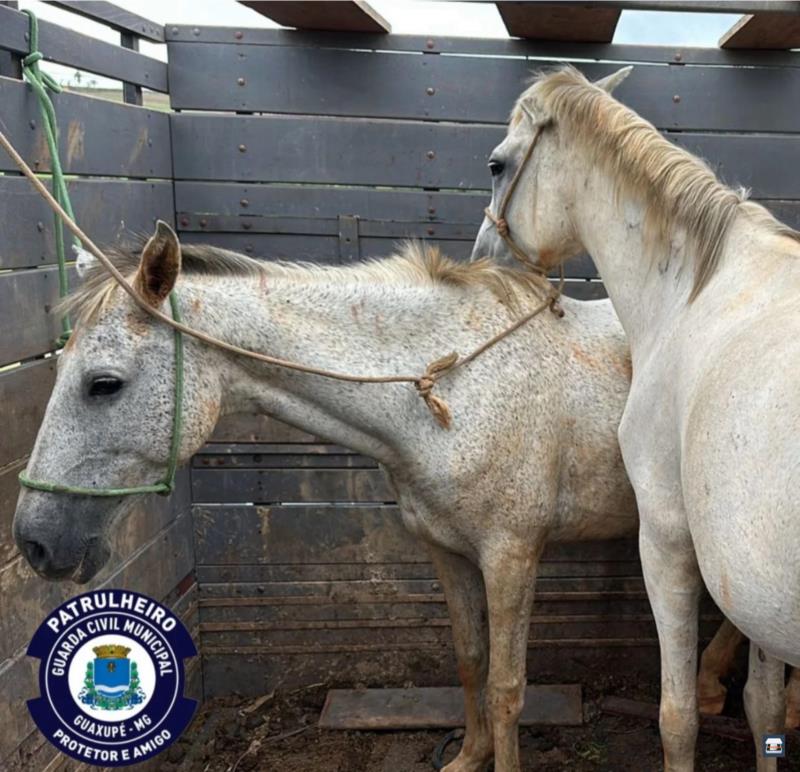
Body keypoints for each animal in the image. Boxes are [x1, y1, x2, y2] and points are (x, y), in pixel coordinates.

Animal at [472, 66, 800, 772]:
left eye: (496, 164)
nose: (484, 257)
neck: (694, 290)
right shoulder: (749, 587)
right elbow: (763, 709)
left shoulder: (668, 537)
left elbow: (677, 718)